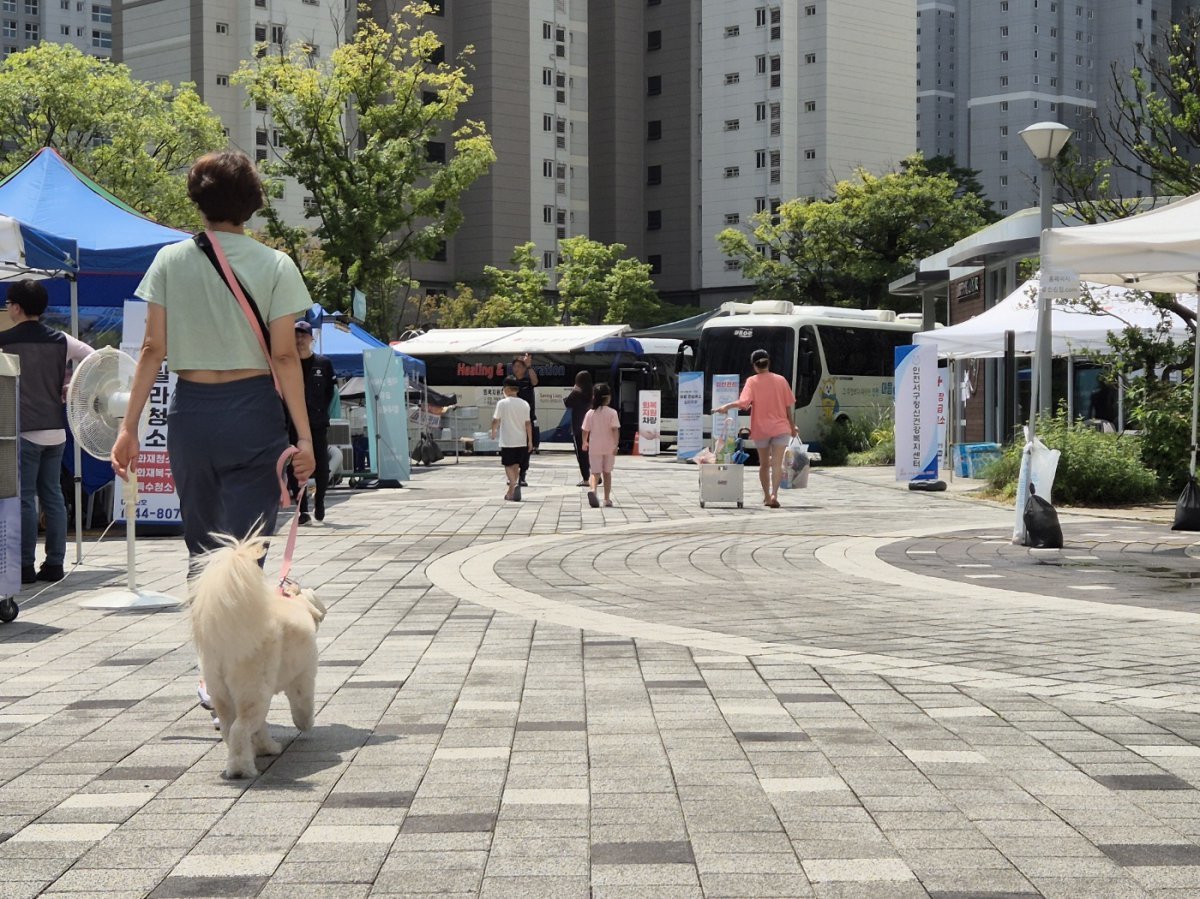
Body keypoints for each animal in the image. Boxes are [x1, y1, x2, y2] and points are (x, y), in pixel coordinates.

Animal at [189, 532, 326, 777]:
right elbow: (302, 706)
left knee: (229, 728)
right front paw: (305, 724)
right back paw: (241, 769)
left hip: (222, 693)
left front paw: (264, 747)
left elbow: (261, 728)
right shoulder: (303, 677)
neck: (290, 600)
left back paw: (252, 754)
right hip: (253, 691)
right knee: (240, 729)